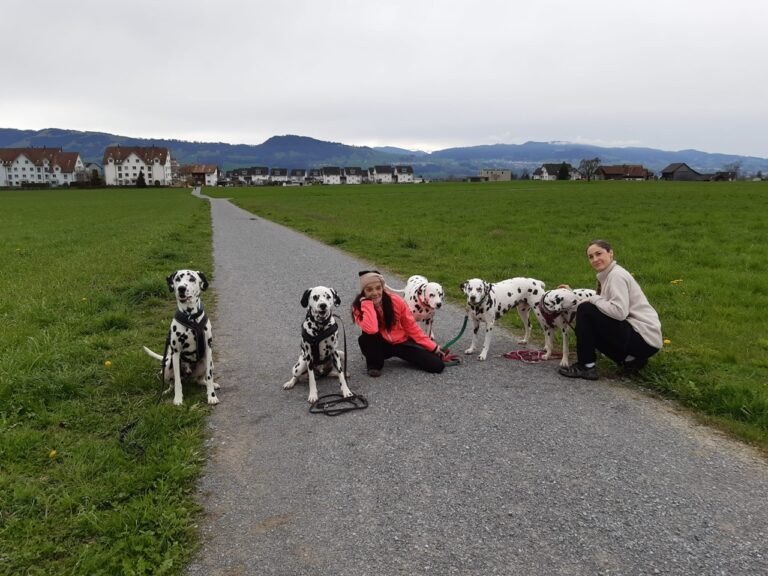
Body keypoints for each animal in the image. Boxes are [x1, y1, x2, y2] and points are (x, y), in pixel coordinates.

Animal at [142, 268, 219, 404]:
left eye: (192, 279)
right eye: (177, 279)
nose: (181, 288)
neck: (191, 318)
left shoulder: (208, 349)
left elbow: (210, 376)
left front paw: (212, 396)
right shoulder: (176, 353)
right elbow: (177, 381)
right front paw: (178, 399)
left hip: (208, 363)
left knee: (200, 380)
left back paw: (211, 384)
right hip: (167, 366)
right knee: (172, 383)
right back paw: (167, 391)